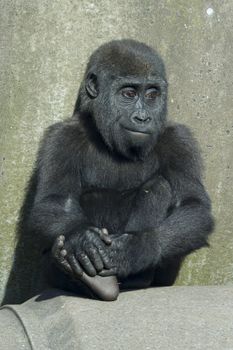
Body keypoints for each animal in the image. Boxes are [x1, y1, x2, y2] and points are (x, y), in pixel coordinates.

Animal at [1, 39, 215, 304]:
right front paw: (80, 240)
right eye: (129, 94)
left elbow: (193, 207)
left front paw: (135, 250)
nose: (142, 118)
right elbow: (56, 202)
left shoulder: (180, 140)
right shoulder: (61, 137)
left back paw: (132, 278)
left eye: (152, 95)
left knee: (159, 187)